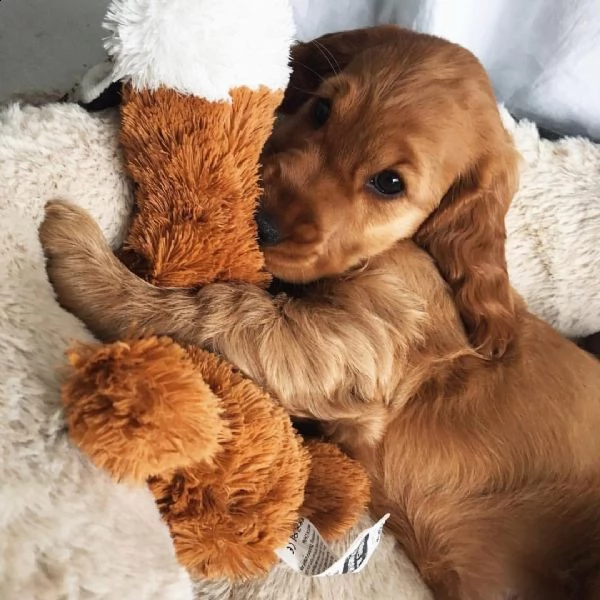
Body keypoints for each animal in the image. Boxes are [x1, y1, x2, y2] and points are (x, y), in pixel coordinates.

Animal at [38, 27, 600, 600]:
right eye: (322, 108)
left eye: (389, 183)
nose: (260, 224)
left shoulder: (351, 336)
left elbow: (216, 309)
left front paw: (82, 258)